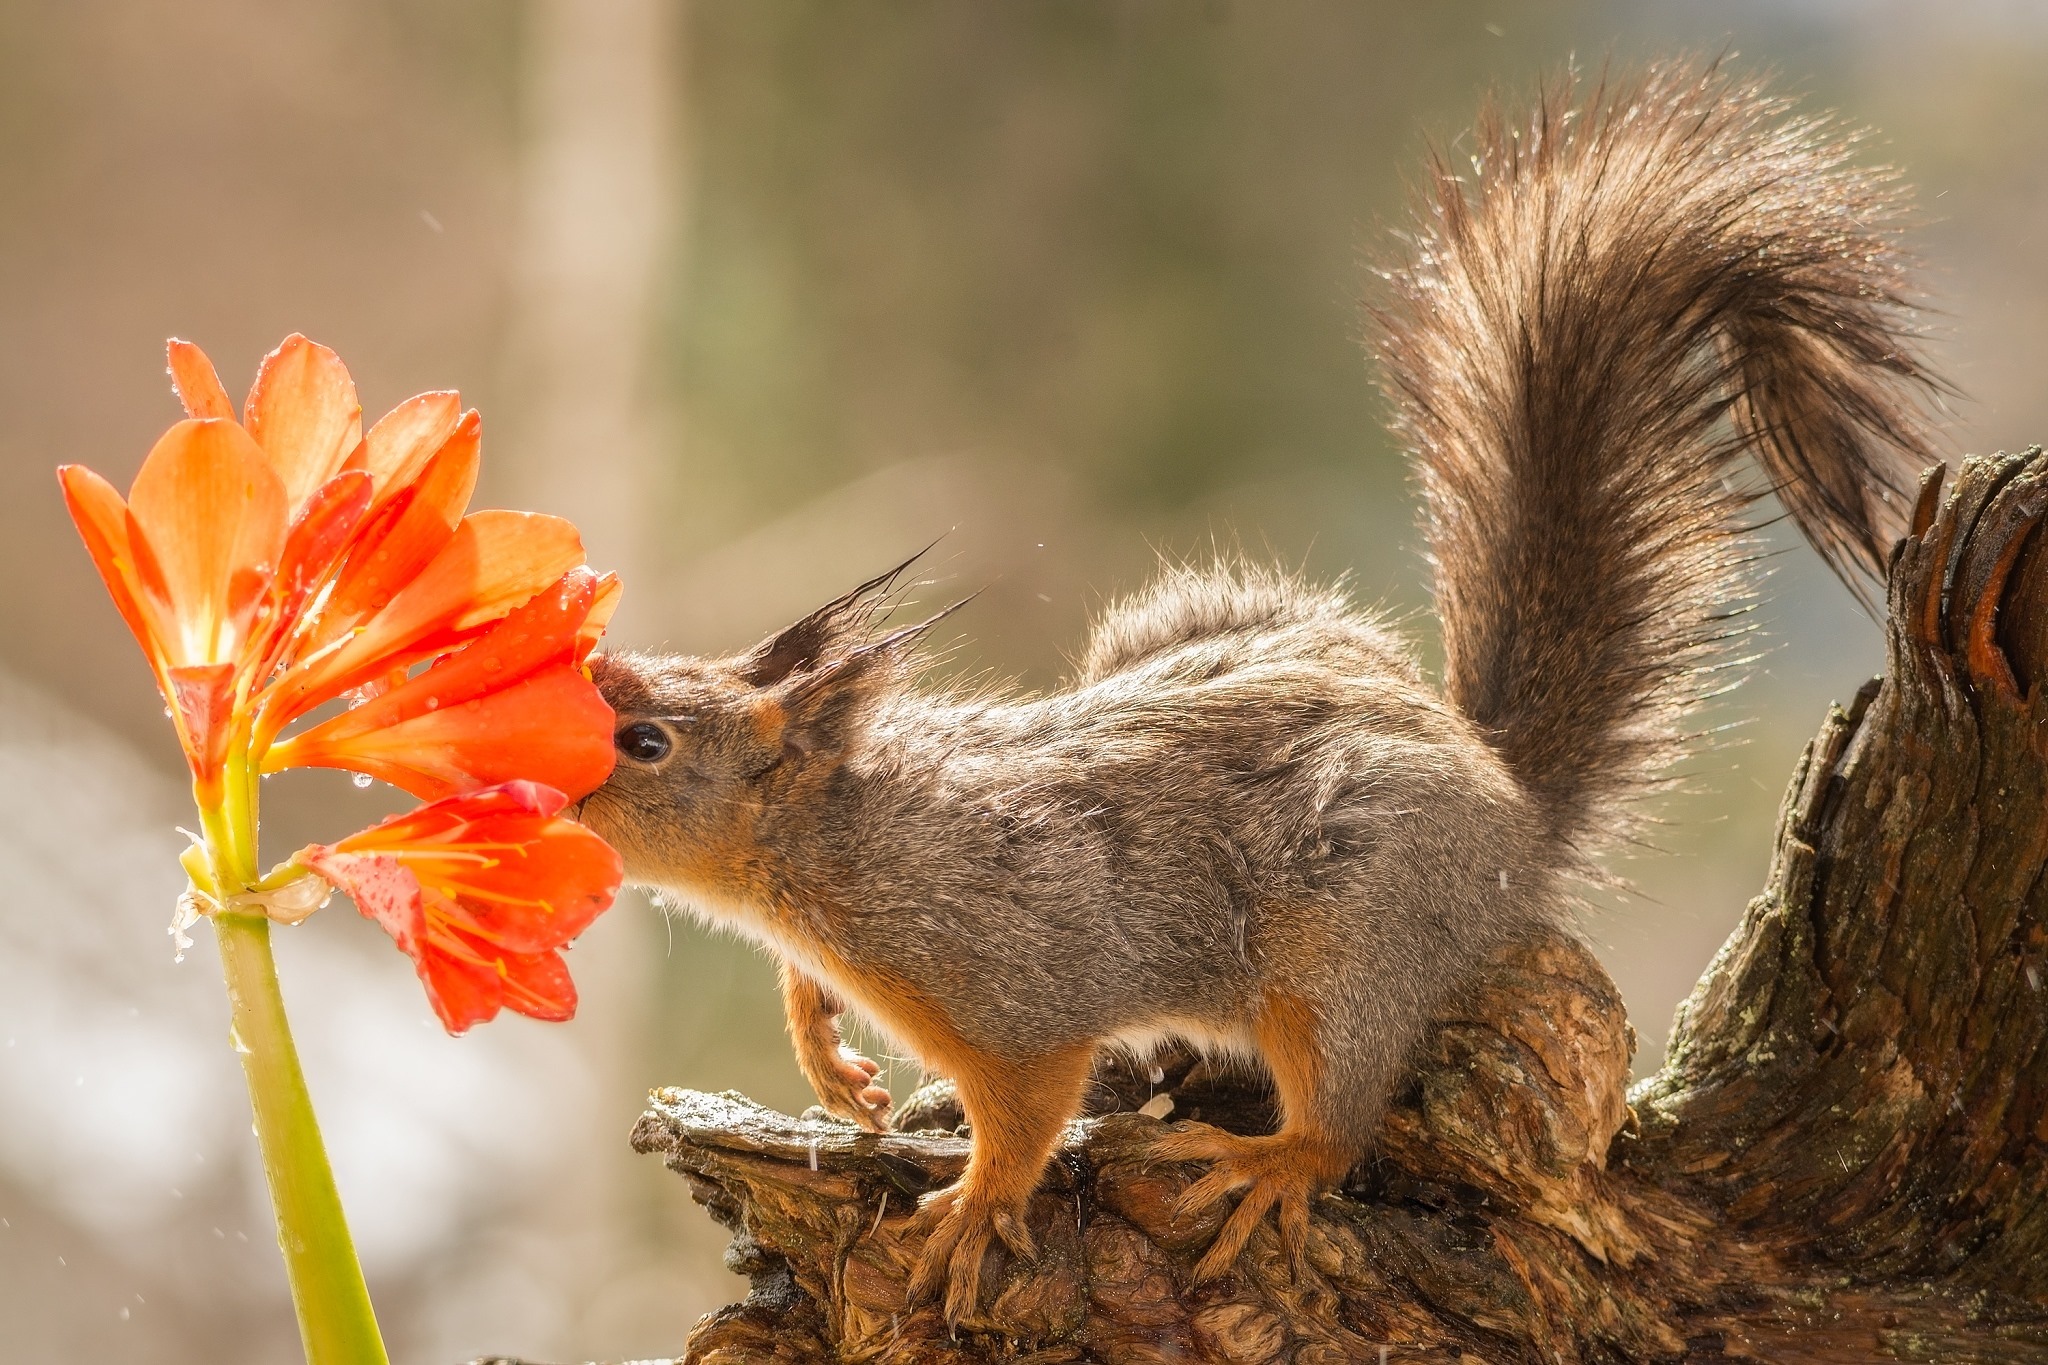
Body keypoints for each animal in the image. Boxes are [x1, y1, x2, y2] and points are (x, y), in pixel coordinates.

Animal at [577, 63, 1933, 1326]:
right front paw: (827, 1056)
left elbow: (1028, 1110)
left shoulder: (1015, 987)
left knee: (1340, 1101)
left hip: (1345, 947)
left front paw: (972, 1208)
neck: (836, 842)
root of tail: (1507, 814)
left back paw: (1271, 1165)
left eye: (645, 742)